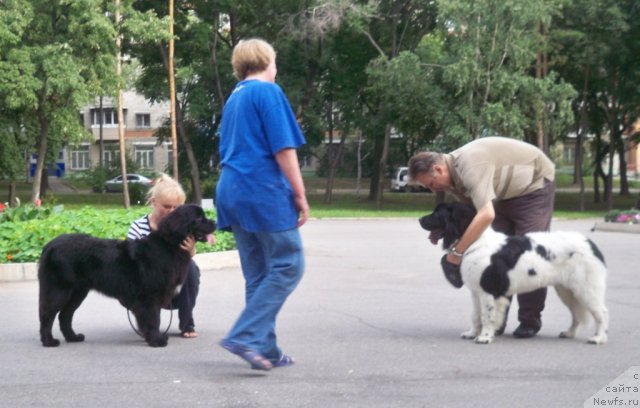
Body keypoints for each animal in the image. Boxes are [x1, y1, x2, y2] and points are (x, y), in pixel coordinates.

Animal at [38, 204, 216, 348]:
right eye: (199, 218)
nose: (215, 222)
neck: (169, 245)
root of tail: (49, 245)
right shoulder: (150, 296)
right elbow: (154, 319)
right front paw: (157, 340)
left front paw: (152, 337)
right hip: (59, 290)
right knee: (47, 315)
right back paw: (49, 341)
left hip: (78, 292)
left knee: (65, 316)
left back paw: (73, 337)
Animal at [420, 202, 608, 344]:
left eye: (437, 214)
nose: (420, 218)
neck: (475, 241)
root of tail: (591, 244)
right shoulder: (475, 291)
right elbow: (475, 315)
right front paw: (472, 333)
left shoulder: (488, 291)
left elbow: (487, 315)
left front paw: (484, 337)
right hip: (567, 290)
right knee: (576, 313)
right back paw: (569, 333)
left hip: (585, 289)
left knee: (602, 312)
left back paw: (598, 338)